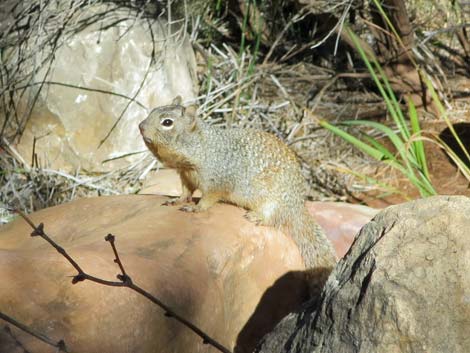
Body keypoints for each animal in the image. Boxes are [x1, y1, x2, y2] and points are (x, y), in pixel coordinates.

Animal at [138, 95, 336, 268]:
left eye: (167, 122)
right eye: (153, 110)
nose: (140, 126)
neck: (201, 147)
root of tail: (298, 206)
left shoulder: (217, 180)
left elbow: (208, 198)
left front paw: (196, 208)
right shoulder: (186, 175)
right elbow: (186, 191)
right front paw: (176, 200)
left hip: (275, 201)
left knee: (274, 218)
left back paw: (257, 216)